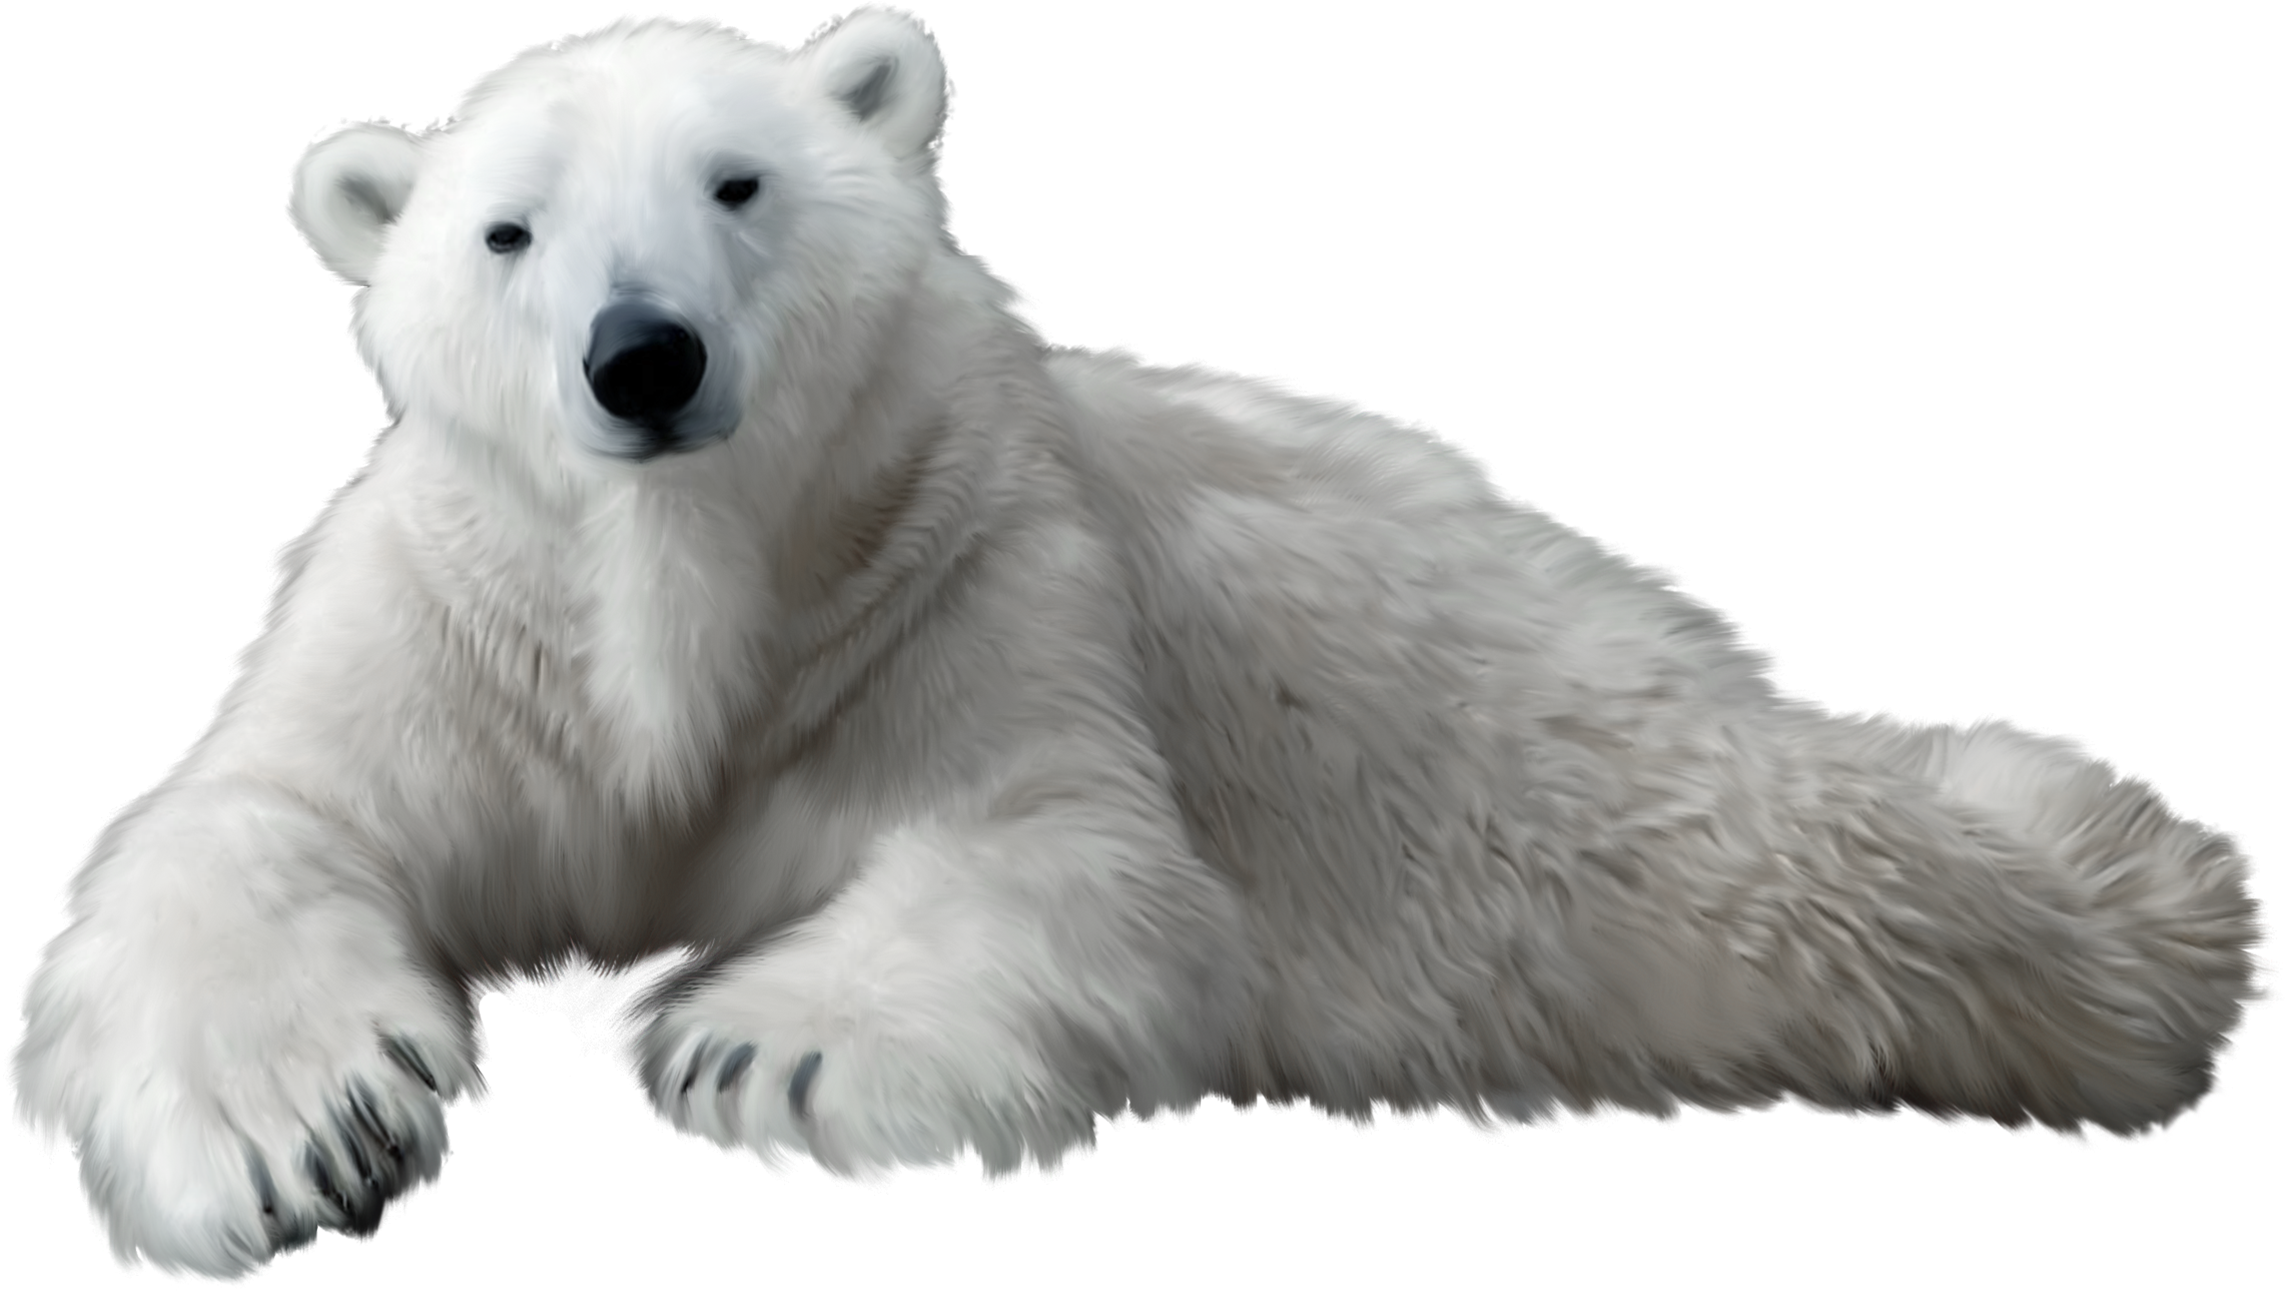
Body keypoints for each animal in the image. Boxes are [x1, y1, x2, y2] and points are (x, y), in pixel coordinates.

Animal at [6, 5, 2273, 1283]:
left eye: (738, 182)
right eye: (506, 230)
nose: (641, 359)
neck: (689, 585)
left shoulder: (962, 573)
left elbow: (1062, 857)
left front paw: (759, 1046)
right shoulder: (469, 620)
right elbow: (249, 821)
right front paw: (303, 1140)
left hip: (1596, 790)